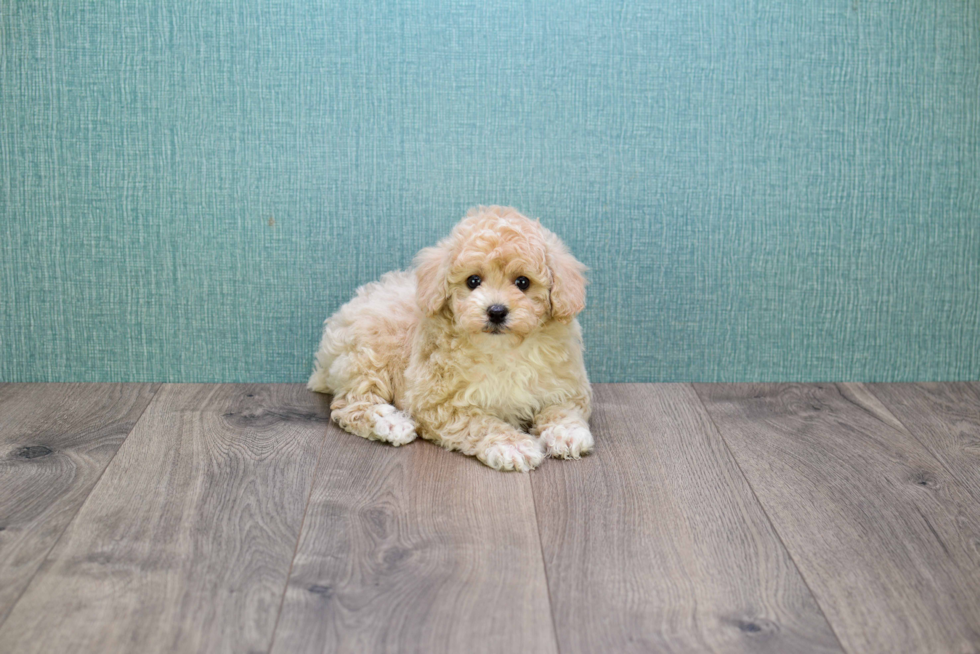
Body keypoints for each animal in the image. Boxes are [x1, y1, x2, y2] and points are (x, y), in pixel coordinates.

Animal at [310, 206, 592, 472]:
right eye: (473, 281)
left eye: (523, 282)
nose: (496, 311)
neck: (502, 349)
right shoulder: (437, 403)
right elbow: (480, 422)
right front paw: (512, 445)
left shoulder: (566, 385)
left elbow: (562, 408)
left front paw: (567, 433)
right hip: (368, 355)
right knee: (351, 404)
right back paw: (391, 423)